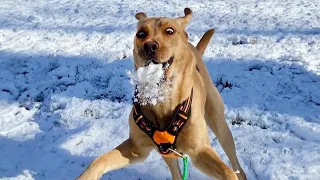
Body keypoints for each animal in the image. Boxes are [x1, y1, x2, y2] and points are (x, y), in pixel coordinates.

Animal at [76, 7, 246, 179]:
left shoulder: (199, 151)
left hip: (219, 122)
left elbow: (227, 171)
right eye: (141, 33)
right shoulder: (136, 148)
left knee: (236, 165)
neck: (161, 99)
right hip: (167, 154)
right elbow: (98, 161)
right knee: (176, 173)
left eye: (170, 30)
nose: (149, 46)